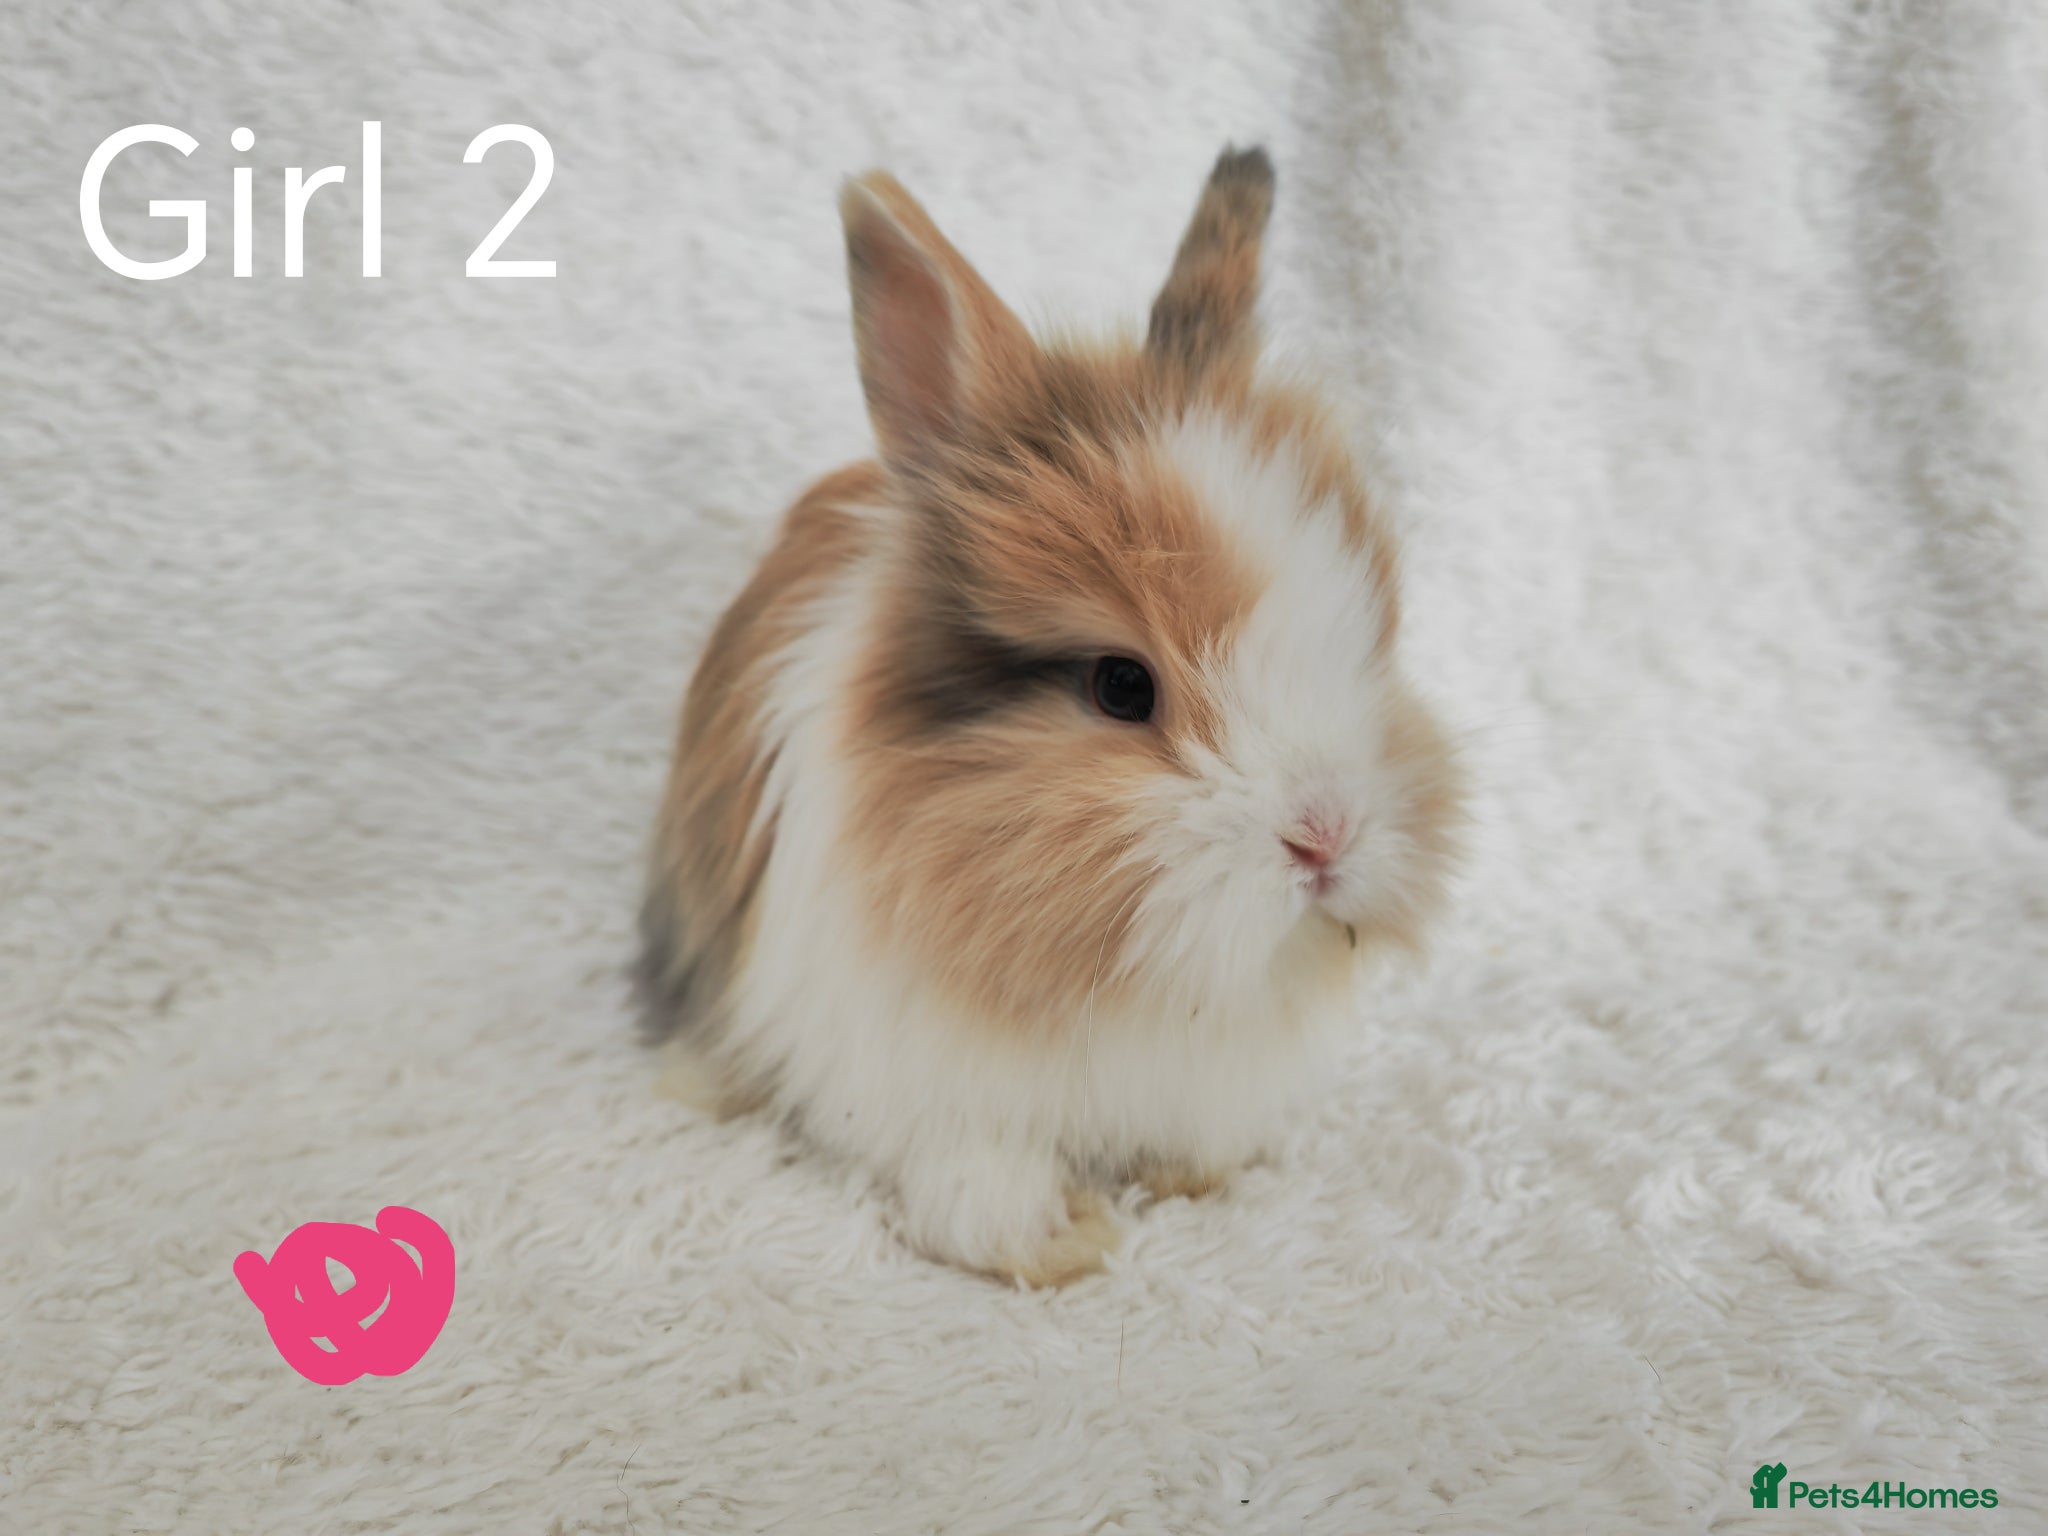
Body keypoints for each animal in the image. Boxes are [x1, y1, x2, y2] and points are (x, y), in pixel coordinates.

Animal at [639, 146, 1462, 1286]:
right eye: (1120, 686)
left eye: (1371, 633)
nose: (1326, 838)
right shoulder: (921, 1085)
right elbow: (975, 1182)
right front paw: (1057, 1242)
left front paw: (1197, 1178)